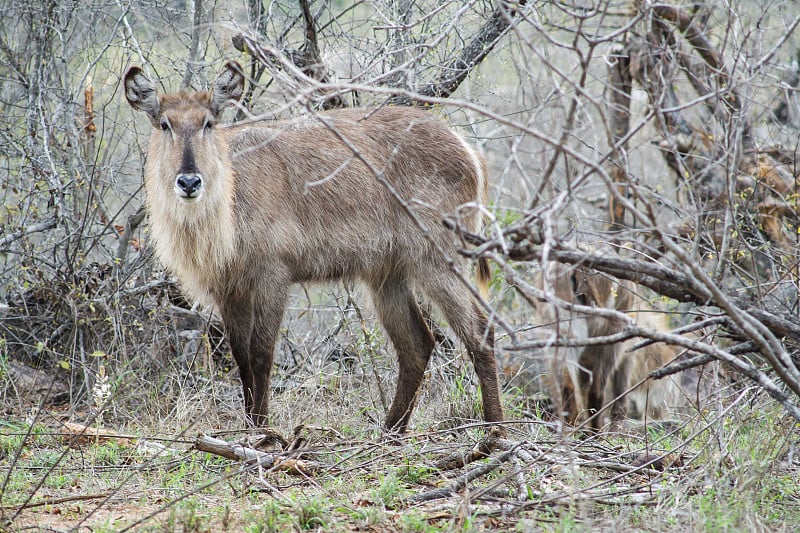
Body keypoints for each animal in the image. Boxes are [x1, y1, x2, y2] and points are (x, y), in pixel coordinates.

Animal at [122, 60, 504, 432]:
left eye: (208, 123)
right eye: (164, 124)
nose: (189, 181)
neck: (228, 204)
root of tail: (467, 148)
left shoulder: (273, 274)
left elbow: (261, 355)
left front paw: (263, 433)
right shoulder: (229, 289)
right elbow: (241, 359)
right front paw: (248, 429)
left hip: (438, 259)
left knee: (480, 332)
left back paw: (495, 430)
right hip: (387, 273)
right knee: (417, 344)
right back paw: (391, 432)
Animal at [532, 260, 680, 428]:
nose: (666, 411)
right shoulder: (626, 355)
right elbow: (620, 405)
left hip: (560, 338)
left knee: (567, 388)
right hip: (607, 344)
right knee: (596, 391)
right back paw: (596, 433)